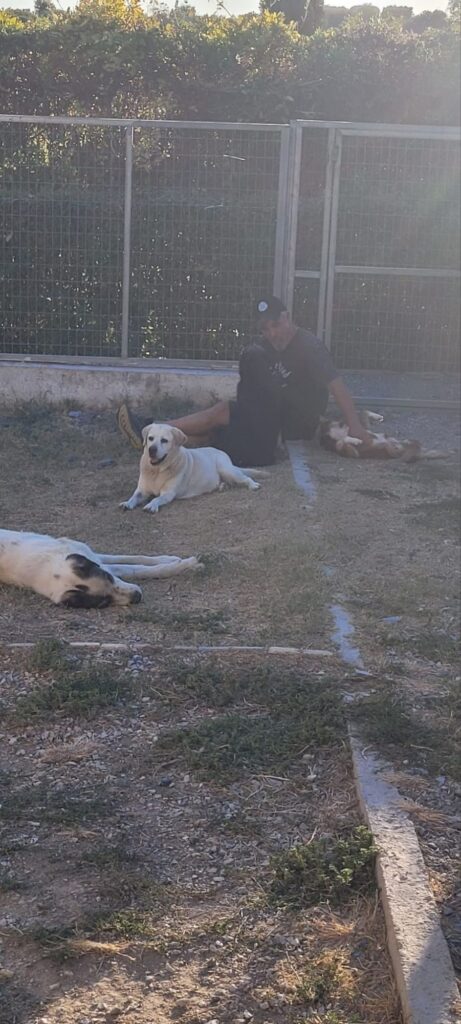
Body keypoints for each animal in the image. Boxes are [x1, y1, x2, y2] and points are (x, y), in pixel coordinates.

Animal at [0, 530, 201, 608]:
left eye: (108, 578)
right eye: (104, 602)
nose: (137, 597)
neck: (50, 567)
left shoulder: (92, 555)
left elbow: (133, 560)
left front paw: (170, 559)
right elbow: (136, 569)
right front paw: (187, 565)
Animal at [120, 423, 262, 514]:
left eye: (164, 440)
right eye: (150, 438)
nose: (152, 450)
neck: (157, 471)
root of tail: (220, 450)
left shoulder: (168, 493)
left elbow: (157, 498)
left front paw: (151, 505)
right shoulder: (142, 491)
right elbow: (134, 496)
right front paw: (127, 503)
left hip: (227, 470)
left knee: (246, 478)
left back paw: (253, 485)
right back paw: (222, 486)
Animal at [318, 411, 447, 461]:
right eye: (339, 424)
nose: (343, 422)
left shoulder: (362, 427)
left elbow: (364, 412)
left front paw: (377, 416)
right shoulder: (350, 452)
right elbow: (341, 442)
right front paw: (354, 440)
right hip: (395, 452)